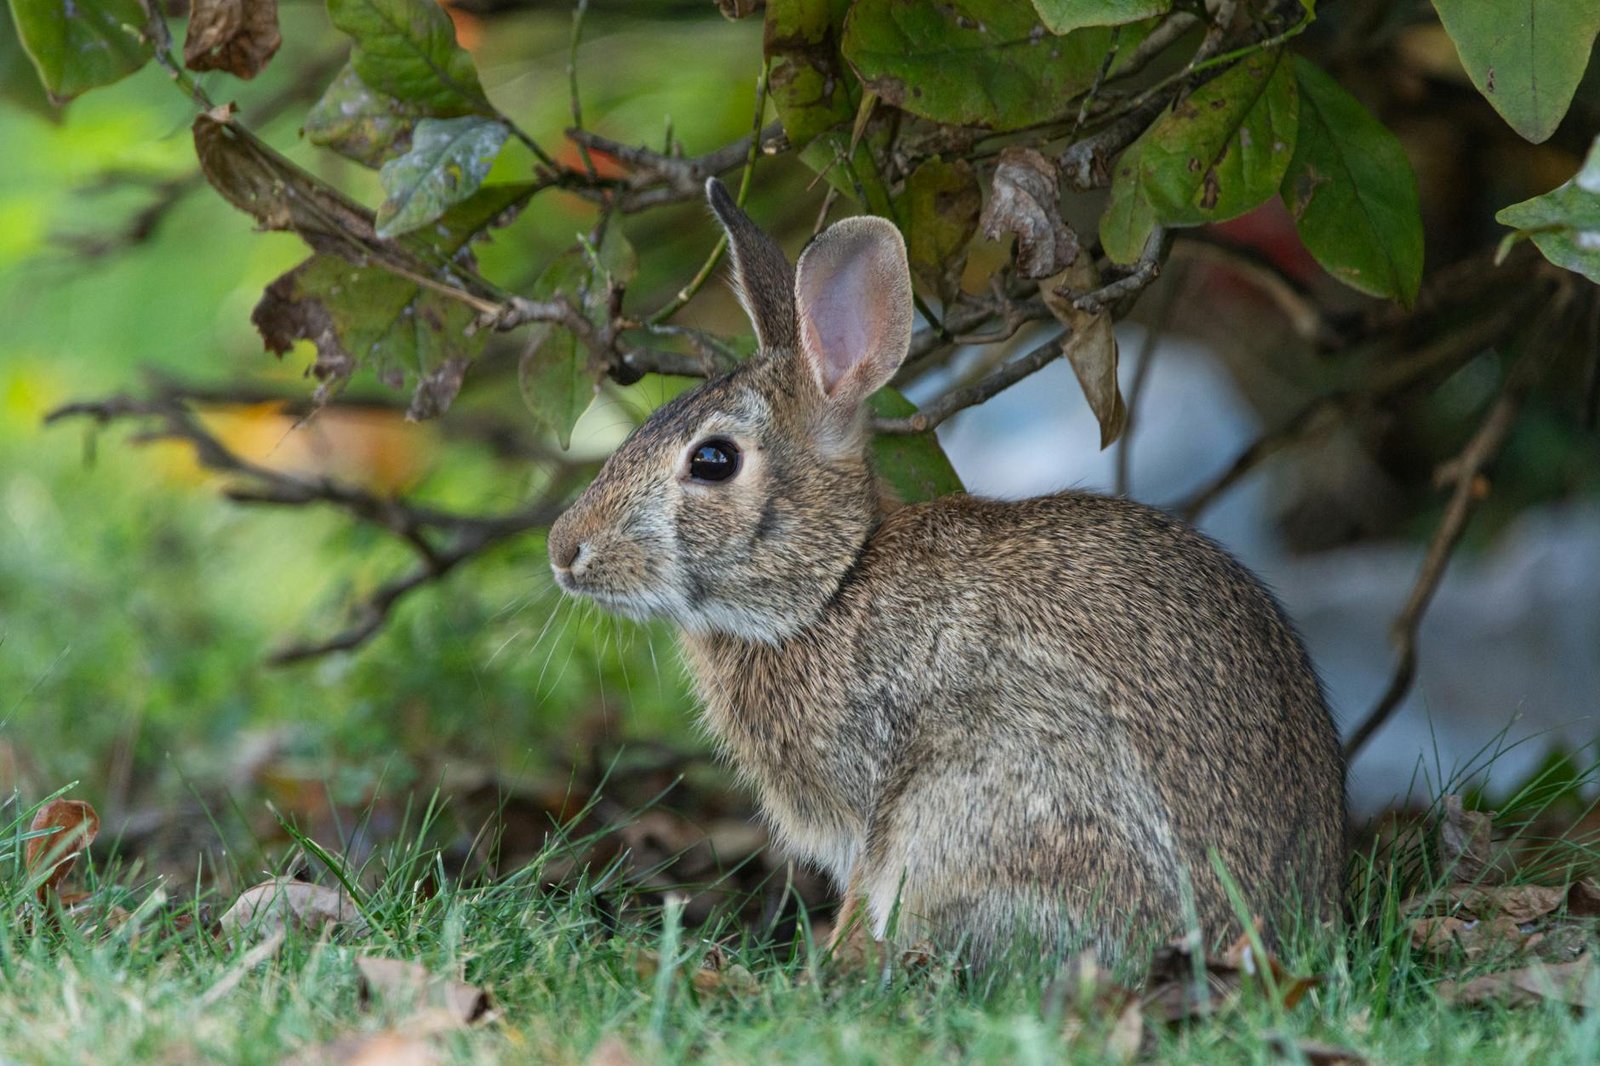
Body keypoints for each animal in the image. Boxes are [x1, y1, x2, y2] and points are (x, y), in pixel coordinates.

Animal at [547, 178, 1347, 967]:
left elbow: (862, 884)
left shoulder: (874, 797)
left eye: (713, 460)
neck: (831, 586)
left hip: (981, 799)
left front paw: (831, 960)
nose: (563, 550)